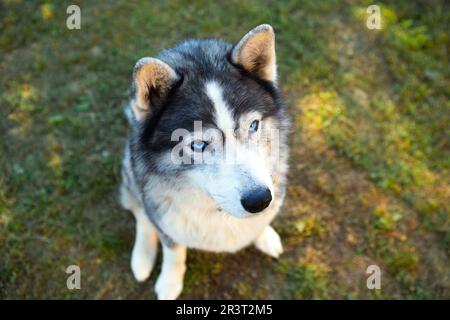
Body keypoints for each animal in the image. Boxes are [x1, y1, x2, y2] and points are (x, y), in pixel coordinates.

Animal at [119, 23, 288, 298]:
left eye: (253, 125)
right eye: (198, 145)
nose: (260, 200)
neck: (217, 209)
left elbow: (261, 223)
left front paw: (264, 235)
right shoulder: (165, 220)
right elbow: (173, 252)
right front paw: (169, 282)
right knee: (141, 212)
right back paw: (142, 257)